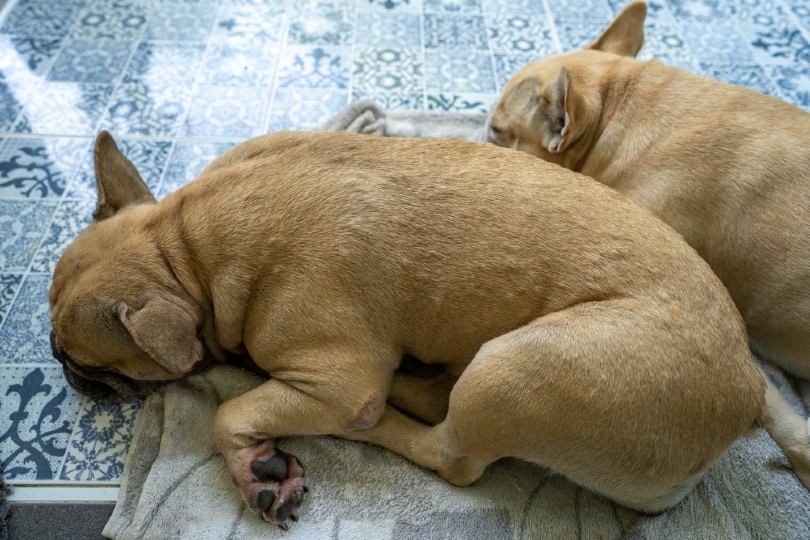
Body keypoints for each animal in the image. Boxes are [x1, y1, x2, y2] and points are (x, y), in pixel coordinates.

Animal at [52, 130, 788, 528]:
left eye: (92, 364)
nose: (65, 371)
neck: (184, 249)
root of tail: (750, 394)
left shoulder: (333, 382)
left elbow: (228, 412)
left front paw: (254, 465)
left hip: (513, 370)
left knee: (449, 454)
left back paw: (387, 418)